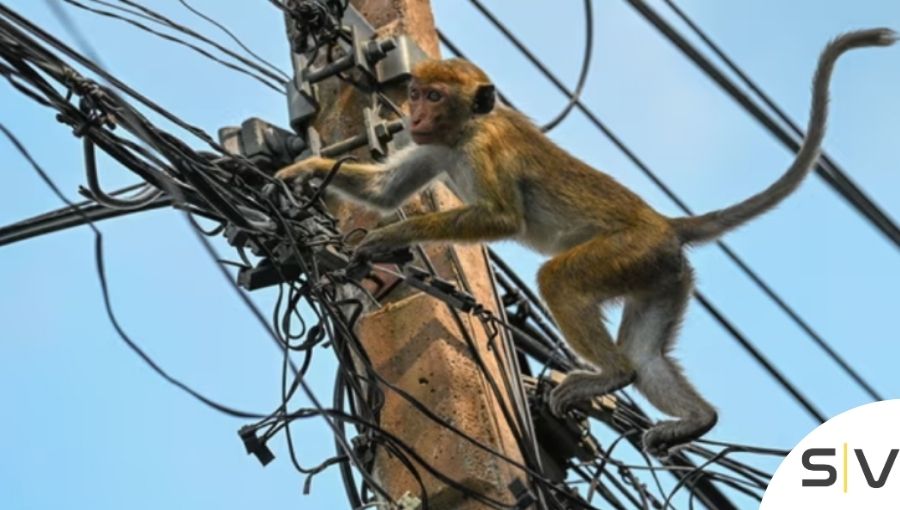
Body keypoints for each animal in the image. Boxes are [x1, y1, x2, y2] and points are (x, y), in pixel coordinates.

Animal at [275, 29, 896, 456]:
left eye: (433, 96)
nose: (415, 112)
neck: (467, 128)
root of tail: (665, 223)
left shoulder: (484, 148)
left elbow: (500, 218)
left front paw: (388, 237)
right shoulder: (434, 147)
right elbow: (384, 190)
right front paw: (300, 171)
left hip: (629, 251)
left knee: (561, 282)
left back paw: (611, 375)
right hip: (663, 275)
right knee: (648, 356)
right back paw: (696, 418)